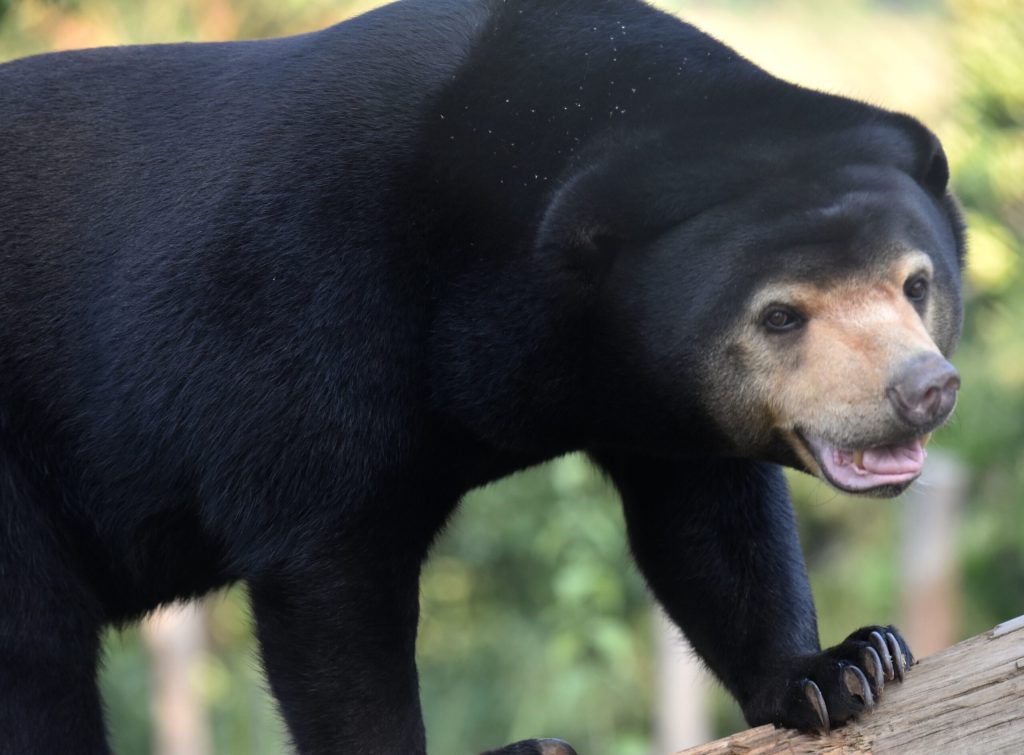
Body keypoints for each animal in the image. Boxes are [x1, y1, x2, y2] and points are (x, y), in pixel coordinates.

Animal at [0, 0, 964, 753]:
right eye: (780, 316)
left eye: (916, 283)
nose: (924, 390)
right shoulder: (304, 309)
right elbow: (329, 577)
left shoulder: (644, 384)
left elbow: (710, 521)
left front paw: (841, 667)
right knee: (36, 648)